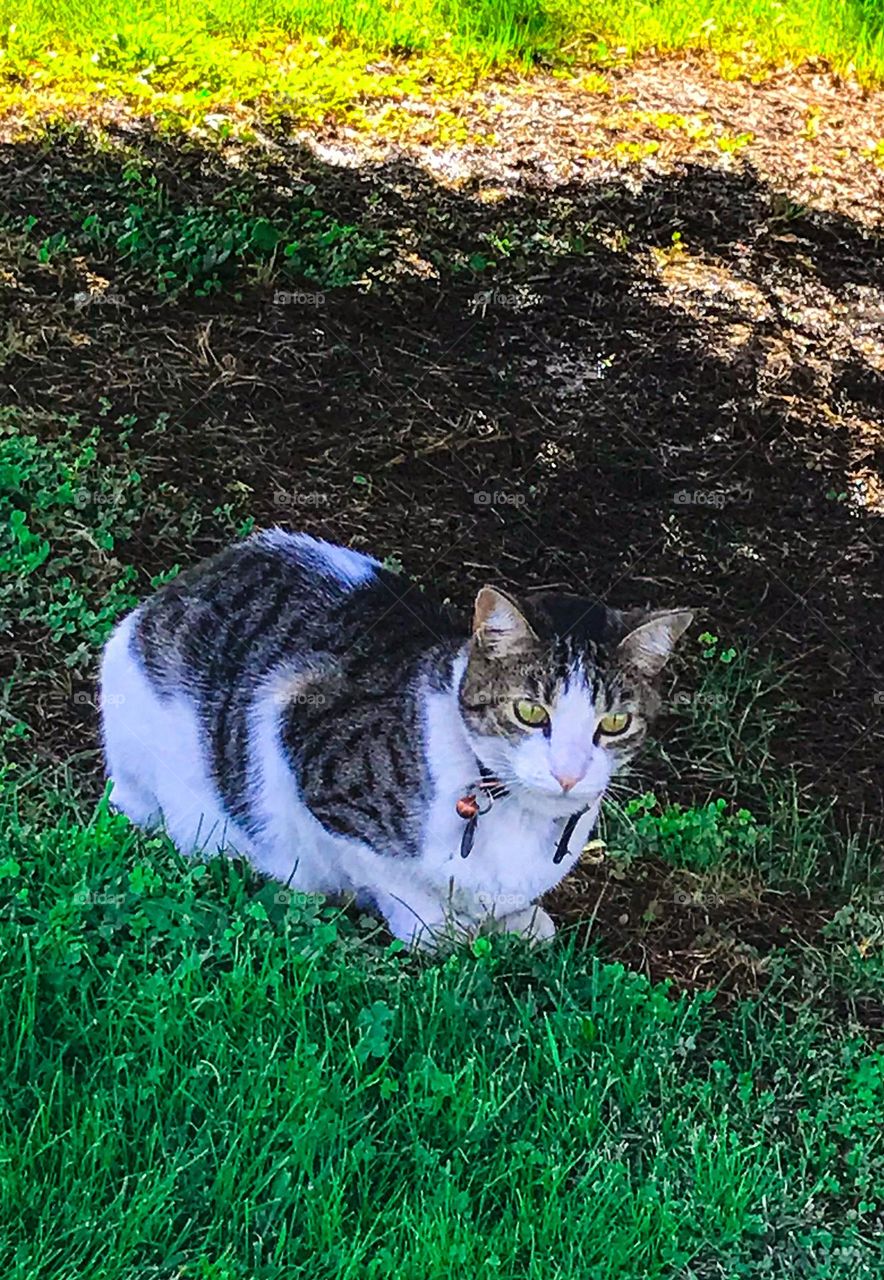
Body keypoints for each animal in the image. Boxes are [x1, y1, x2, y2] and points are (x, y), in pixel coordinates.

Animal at [100, 529, 695, 952]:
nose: (569, 773)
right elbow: (390, 878)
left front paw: (515, 922)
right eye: (530, 711)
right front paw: (435, 928)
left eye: (613, 723)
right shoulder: (300, 744)